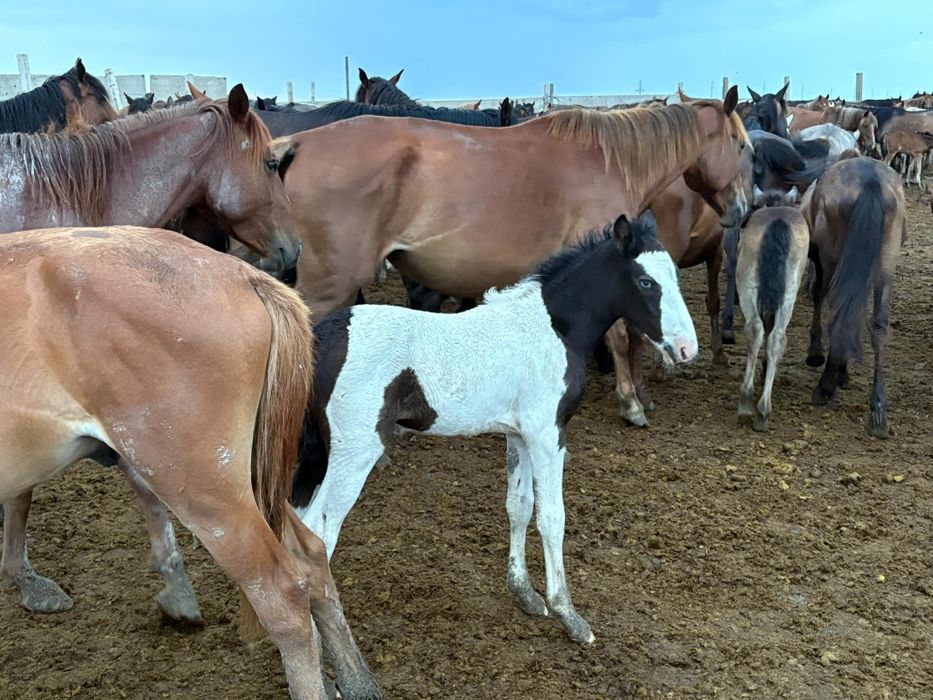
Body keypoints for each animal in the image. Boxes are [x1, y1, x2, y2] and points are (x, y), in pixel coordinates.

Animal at [0, 226, 381, 700]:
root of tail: (242, 274)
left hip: (203, 489)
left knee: (284, 595)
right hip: (243, 483)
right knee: (311, 555)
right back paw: (358, 682)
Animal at [292, 212, 697, 647]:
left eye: (675, 274)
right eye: (645, 282)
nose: (687, 349)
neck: (553, 327)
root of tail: (320, 335)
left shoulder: (518, 434)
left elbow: (519, 506)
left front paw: (525, 595)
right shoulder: (547, 433)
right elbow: (552, 517)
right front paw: (569, 616)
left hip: (317, 452)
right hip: (354, 452)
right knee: (319, 534)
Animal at [736, 186, 809, 431]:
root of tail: (778, 221)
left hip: (747, 285)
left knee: (757, 329)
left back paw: (748, 404)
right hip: (788, 293)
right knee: (775, 336)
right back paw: (761, 409)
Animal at [799, 157, 905, 439]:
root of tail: (870, 180)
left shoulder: (824, 261)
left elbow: (820, 296)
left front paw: (818, 354)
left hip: (832, 258)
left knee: (836, 310)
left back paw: (824, 387)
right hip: (884, 265)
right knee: (878, 324)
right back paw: (877, 409)